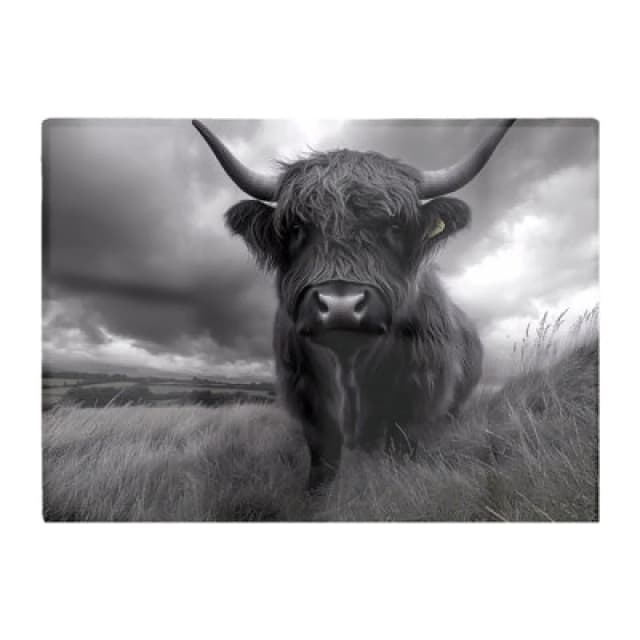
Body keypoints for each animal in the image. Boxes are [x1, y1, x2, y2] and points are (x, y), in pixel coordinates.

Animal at [192, 119, 515, 491]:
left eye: (394, 227)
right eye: (297, 228)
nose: (341, 305)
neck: (349, 367)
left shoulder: (416, 398)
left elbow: (399, 450)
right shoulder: (307, 399)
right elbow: (323, 461)